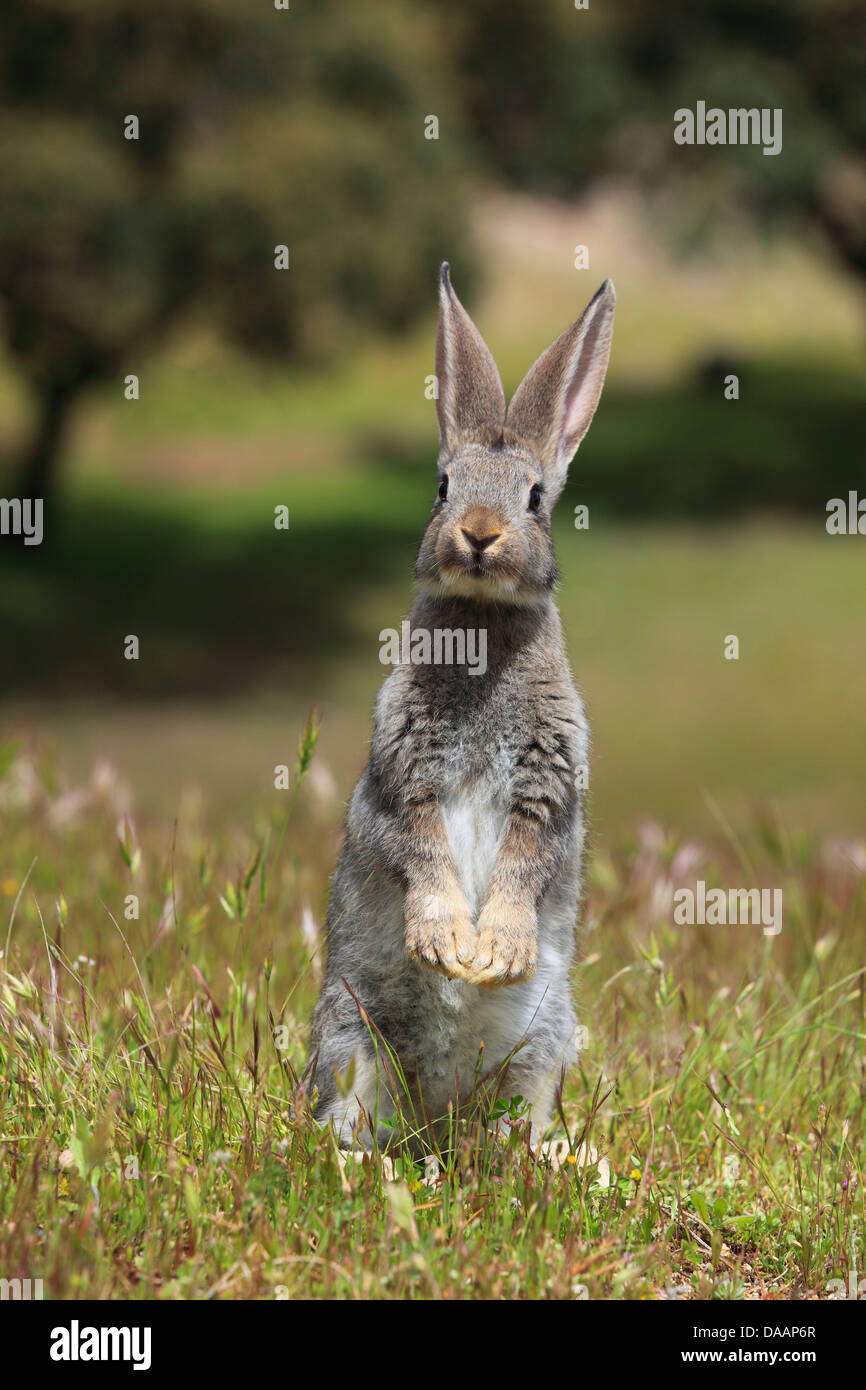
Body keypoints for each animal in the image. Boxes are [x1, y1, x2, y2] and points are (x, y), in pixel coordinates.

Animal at [308, 265, 615, 1152]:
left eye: (536, 498)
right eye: (442, 487)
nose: (479, 533)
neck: (482, 619)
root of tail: (439, 1111)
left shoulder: (549, 785)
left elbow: (527, 861)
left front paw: (493, 953)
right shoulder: (402, 771)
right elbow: (417, 847)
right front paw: (448, 946)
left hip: (545, 1039)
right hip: (349, 1029)